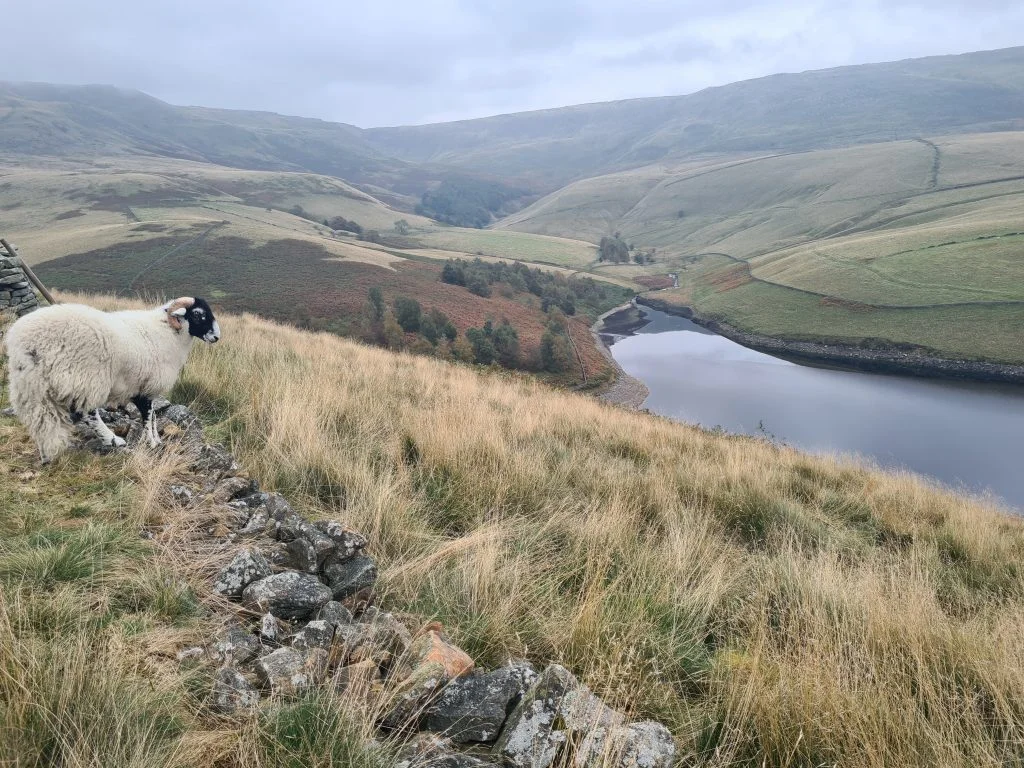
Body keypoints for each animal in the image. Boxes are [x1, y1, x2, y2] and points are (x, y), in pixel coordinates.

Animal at [3, 296, 220, 463]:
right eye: (198, 314)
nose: (217, 337)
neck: (168, 332)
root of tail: (25, 343)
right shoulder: (145, 387)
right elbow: (147, 416)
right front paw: (152, 442)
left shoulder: (144, 387)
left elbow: (153, 416)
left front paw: (156, 439)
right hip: (84, 378)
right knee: (86, 413)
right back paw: (113, 440)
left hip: (33, 385)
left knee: (40, 420)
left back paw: (45, 455)